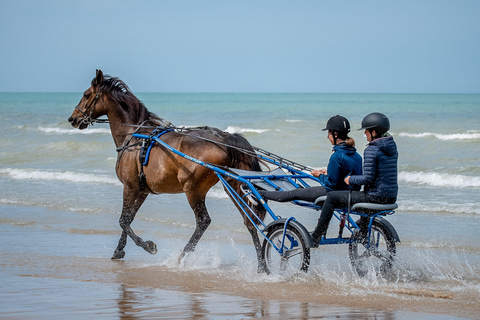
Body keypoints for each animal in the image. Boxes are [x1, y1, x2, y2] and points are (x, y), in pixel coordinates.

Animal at [67, 70, 268, 272]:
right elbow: (129, 219)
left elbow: (123, 220)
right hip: (233, 186)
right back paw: (261, 266)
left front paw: (148, 246)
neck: (134, 136)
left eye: (86, 94)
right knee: (249, 221)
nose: (72, 119)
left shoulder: (130, 187)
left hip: (193, 189)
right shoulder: (141, 190)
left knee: (203, 221)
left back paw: (182, 257)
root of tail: (224, 138)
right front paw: (119, 250)